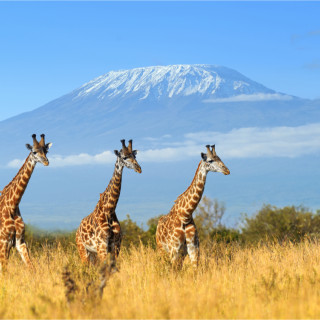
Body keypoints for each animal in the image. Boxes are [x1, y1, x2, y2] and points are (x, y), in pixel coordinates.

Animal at [0, 134, 52, 272]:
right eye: (34, 152)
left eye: (46, 151)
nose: (46, 162)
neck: (13, 205)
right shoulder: (3, 242)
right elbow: (4, 271)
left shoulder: (20, 241)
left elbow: (31, 267)